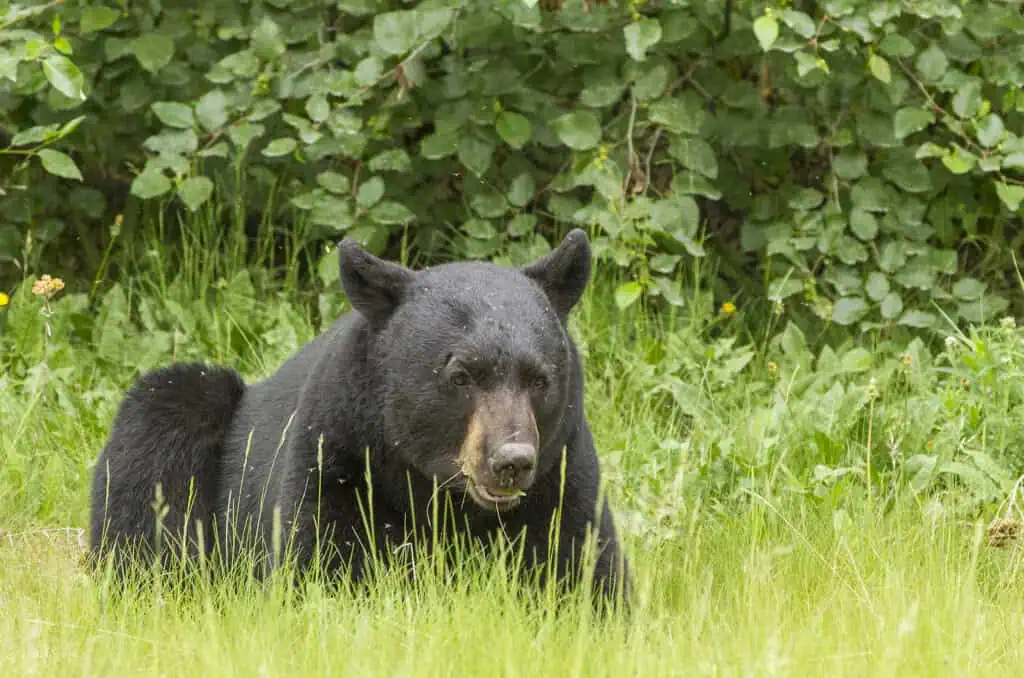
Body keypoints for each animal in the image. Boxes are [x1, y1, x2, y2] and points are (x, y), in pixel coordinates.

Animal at [89, 229, 630, 607]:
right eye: (461, 375)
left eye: (539, 378)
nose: (511, 460)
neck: (438, 491)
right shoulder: (337, 456)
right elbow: (318, 567)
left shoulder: (563, 474)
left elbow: (584, 570)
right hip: (181, 410)